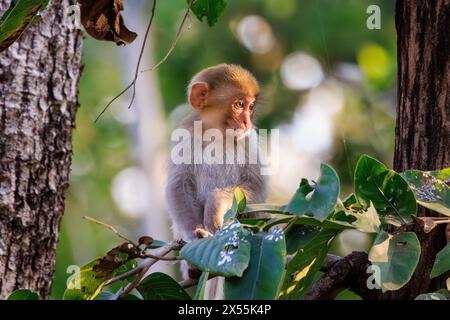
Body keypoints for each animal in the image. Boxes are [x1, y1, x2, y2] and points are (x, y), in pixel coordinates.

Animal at [167, 63, 268, 284]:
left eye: (250, 107)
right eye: (239, 104)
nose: (247, 122)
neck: (218, 134)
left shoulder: (249, 139)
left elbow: (257, 188)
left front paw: (216, 204)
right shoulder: (187, 133)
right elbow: (179, 185)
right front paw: (195, 234)